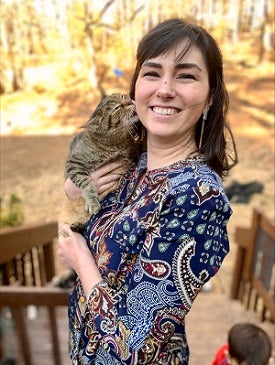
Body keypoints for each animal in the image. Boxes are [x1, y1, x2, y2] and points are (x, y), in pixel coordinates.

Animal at [59, 91, 143, 233]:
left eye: (122, 96)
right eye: (117, 108)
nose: (130, 101)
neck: (116, 144)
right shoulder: (74, 164)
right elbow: (86, 183)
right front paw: (92, 202)